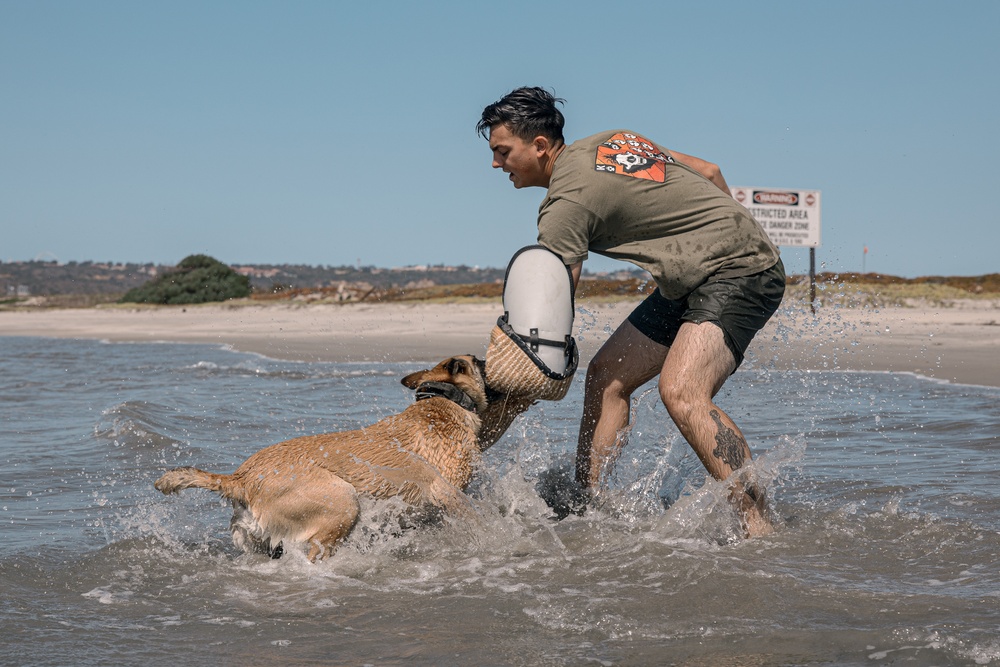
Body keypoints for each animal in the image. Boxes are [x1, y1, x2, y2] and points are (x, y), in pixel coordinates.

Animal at [153, 354, 536, 564]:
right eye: (482, 362)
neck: (443, 400)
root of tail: (240, 478)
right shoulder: (446, 492)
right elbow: (475, 518)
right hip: (343, 503)